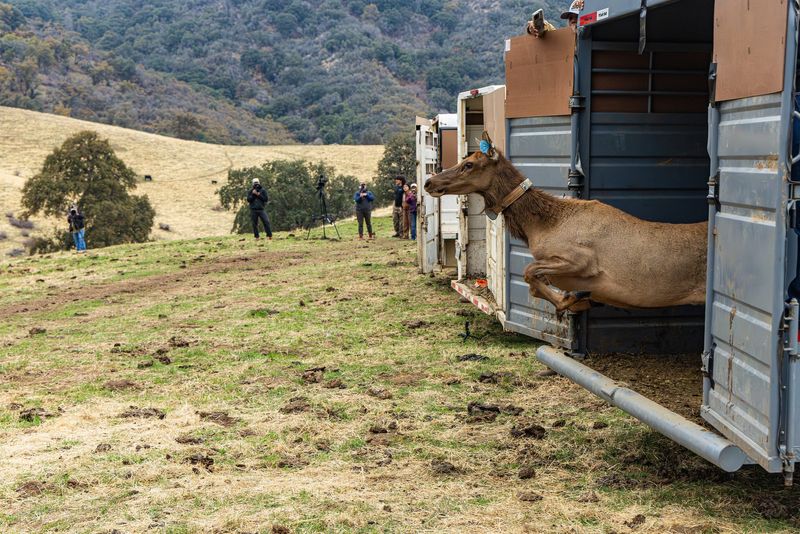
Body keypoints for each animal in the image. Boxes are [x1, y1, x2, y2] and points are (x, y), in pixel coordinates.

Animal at [424, 133, 707, 315]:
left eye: (469, 164)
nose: (429, 182)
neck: (539, 226)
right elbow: (534, 283)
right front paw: (577, 299)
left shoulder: (582, 260)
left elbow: (530, 273)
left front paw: (571, 300)